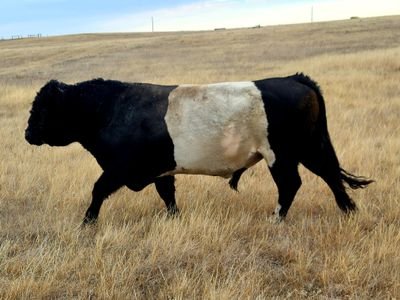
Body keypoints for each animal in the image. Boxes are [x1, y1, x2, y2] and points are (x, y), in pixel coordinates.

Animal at [26, 74, 374, 224]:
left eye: (41, 108)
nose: (27, 133)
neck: (109, 109)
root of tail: (296, 79)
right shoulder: (160, 170)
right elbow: (167, 194)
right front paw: (174, 219)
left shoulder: (121, 167)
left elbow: (97, 190)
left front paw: (88, 222)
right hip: (310, 147)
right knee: (330, 175)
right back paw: (349, 210)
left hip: (284, 153)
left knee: (292, 184)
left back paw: (277, 218)